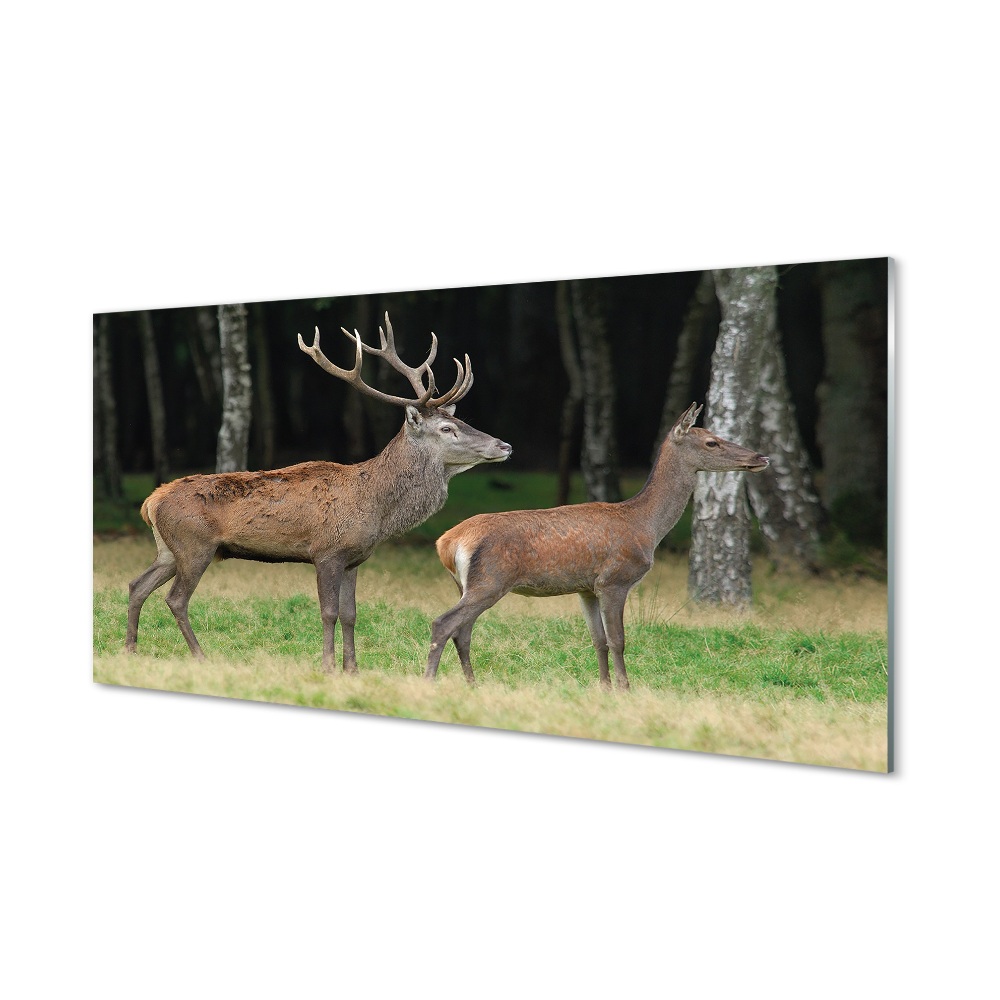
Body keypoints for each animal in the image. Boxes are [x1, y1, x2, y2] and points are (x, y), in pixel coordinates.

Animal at [125, 312, 512, 673]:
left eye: (462, 421)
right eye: (447, 428)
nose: (505, 445)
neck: (377, 507)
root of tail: (151, 501)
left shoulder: (354, 558)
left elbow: (351, 613)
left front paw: (352, 668)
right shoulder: (326, 550)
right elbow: (328, 612)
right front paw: (327, 666)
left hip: (168, 550)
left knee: (137, 585)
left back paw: (130, 648)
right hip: (195, 545)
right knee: (176, 599)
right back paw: (200, 656)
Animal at [424, 402, 768, 690]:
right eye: (712, 442)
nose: (761, 457)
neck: (646, 527)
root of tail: (447, 541)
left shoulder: (585, 588)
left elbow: (598, 640)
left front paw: (603, 687)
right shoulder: (614, 580)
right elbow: (618, 640)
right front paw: (625, 688)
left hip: (467, 584)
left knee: (462, 631)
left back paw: (472, 684)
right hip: (491, 580)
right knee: (444, 624)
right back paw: (430, 681)